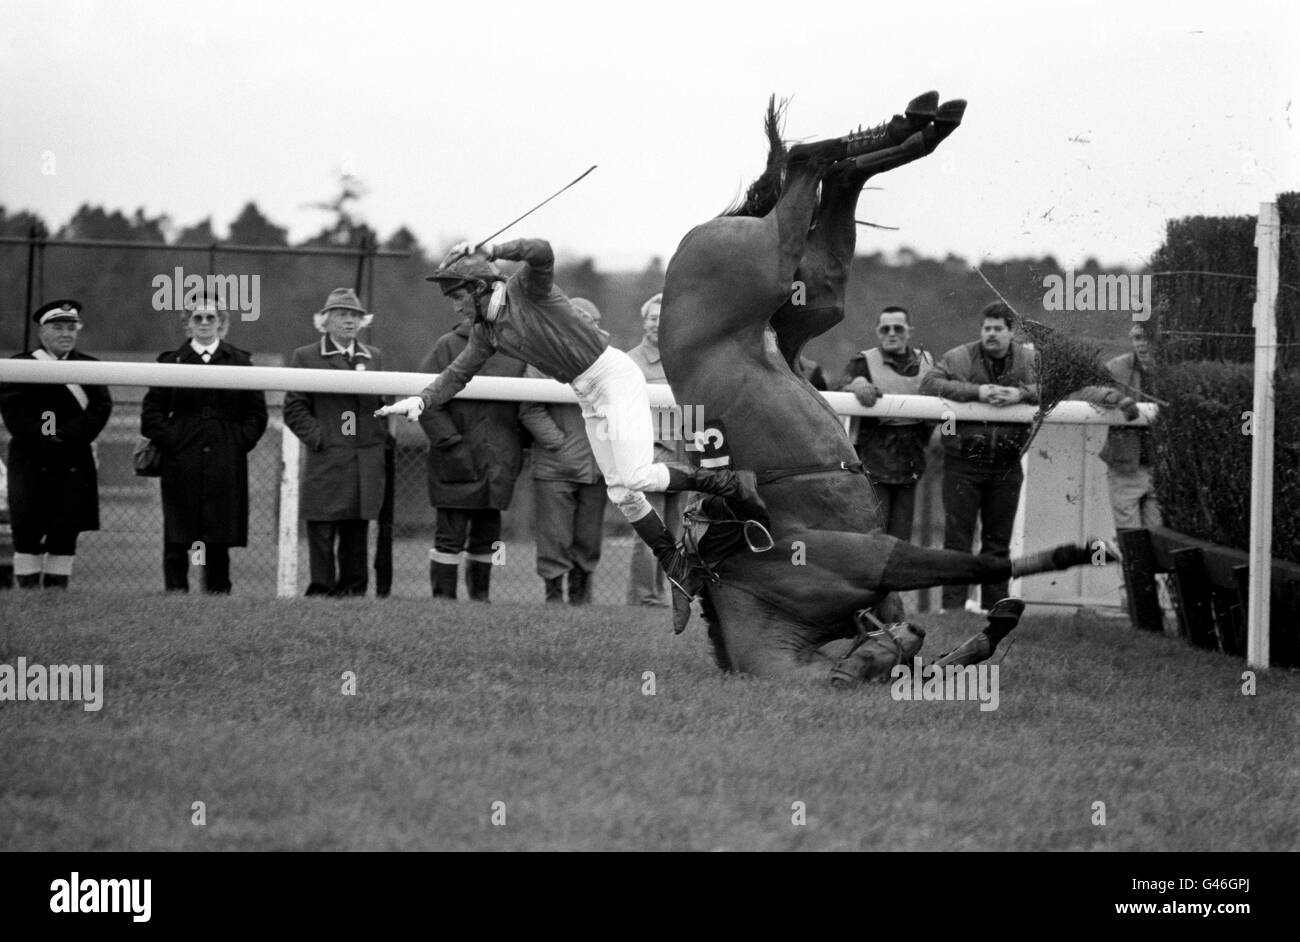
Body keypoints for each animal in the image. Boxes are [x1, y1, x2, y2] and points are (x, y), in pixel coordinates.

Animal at [659, 92, 1111, 684]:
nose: (907, 635)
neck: (752, 575)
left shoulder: (876, 561)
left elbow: (981, 560)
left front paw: (1068, 557)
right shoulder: (878, 572)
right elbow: (974, 574)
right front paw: (997, 621)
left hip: (771, 271)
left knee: (807, 165)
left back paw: (907, 127)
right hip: (812, 295)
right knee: (835, 181)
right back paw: (921, 123)